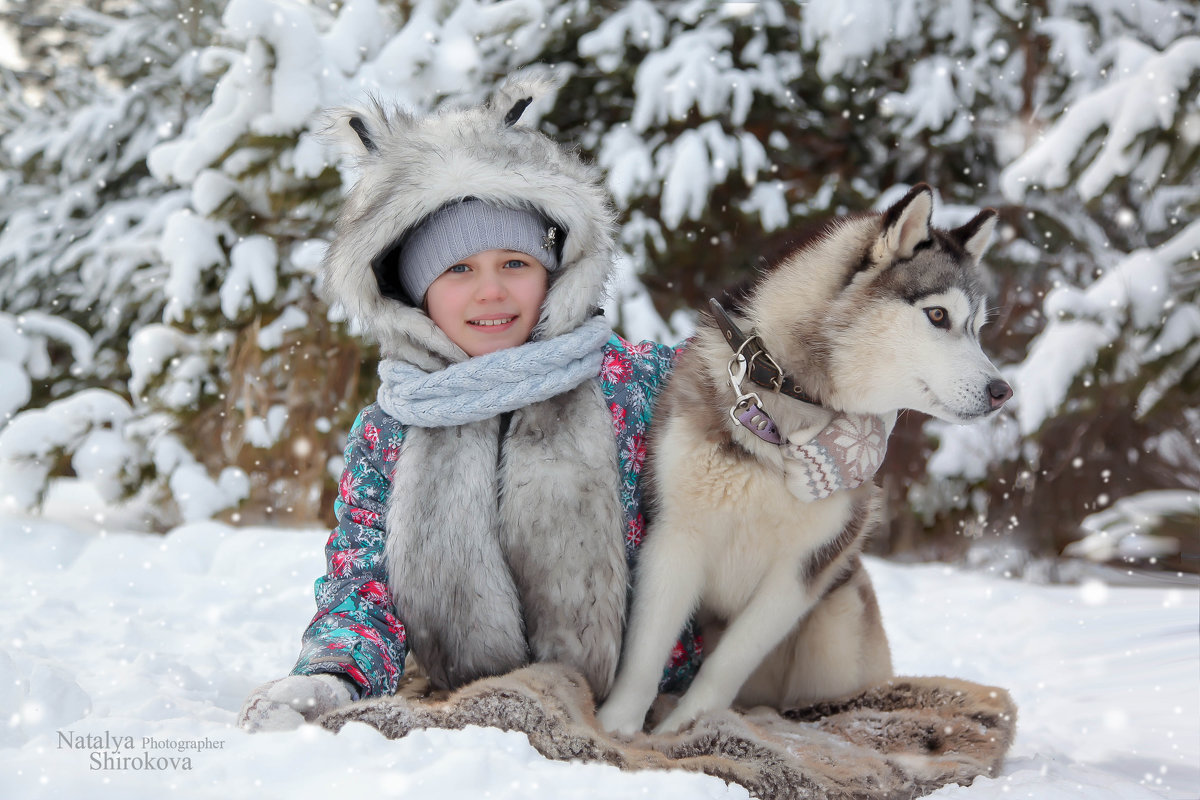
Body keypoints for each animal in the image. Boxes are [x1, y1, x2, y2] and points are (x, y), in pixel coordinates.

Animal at [600, 184, 1012, 734]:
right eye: (939, 316)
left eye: (977, 328)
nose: (1003, 391)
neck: (792, 407)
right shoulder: (675, 536)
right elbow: (646, 654)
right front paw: (617, 728)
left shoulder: (803, 570)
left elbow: (728, 663)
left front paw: (687, 728)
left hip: (839, 622)